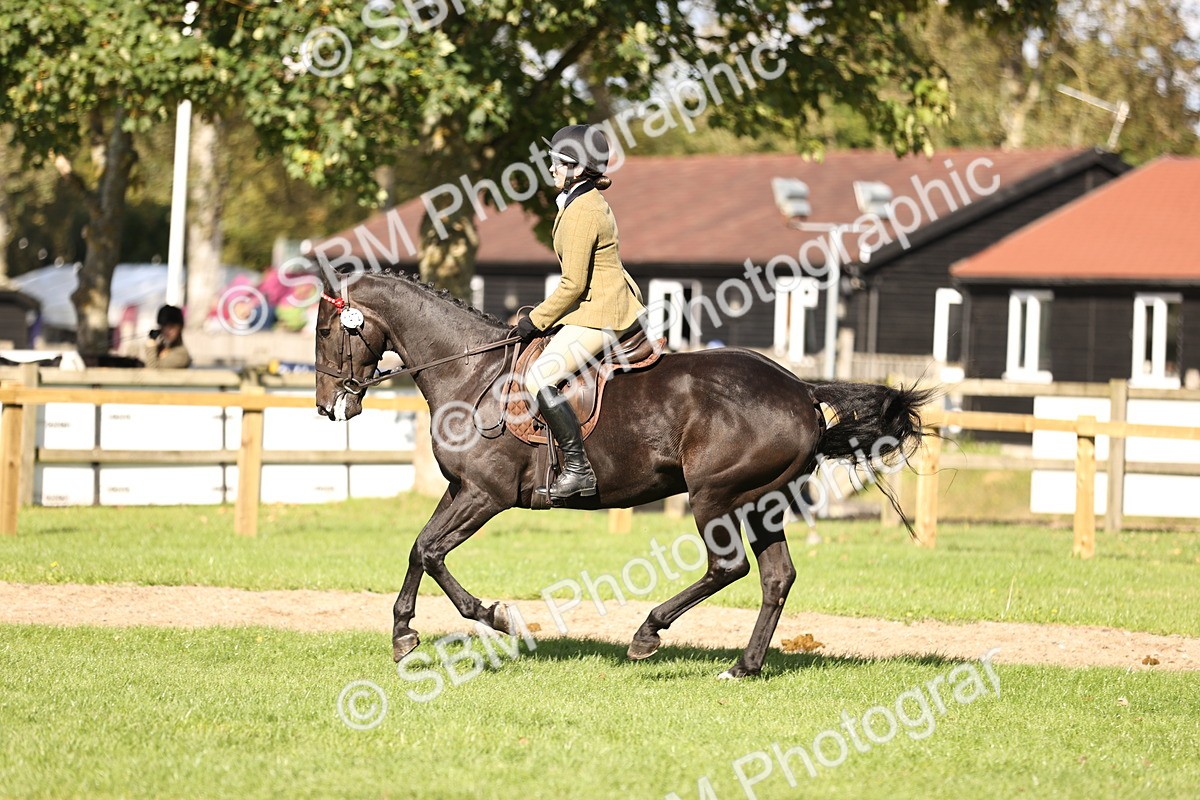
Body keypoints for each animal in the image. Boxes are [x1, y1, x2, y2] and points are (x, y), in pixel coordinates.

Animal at [314, 267, 933, 678]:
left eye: (325, 332)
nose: (327, 408)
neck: (472, 372)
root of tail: (800, 387)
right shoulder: (460, 490)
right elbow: (421, 550)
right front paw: (405, 633)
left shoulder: (484, 495)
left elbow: (431, 552)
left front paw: (495, 617)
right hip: (761, 502)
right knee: (776, 577)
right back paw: (744, 666)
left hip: (715, 496)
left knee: (727, 567)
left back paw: (647, 634)